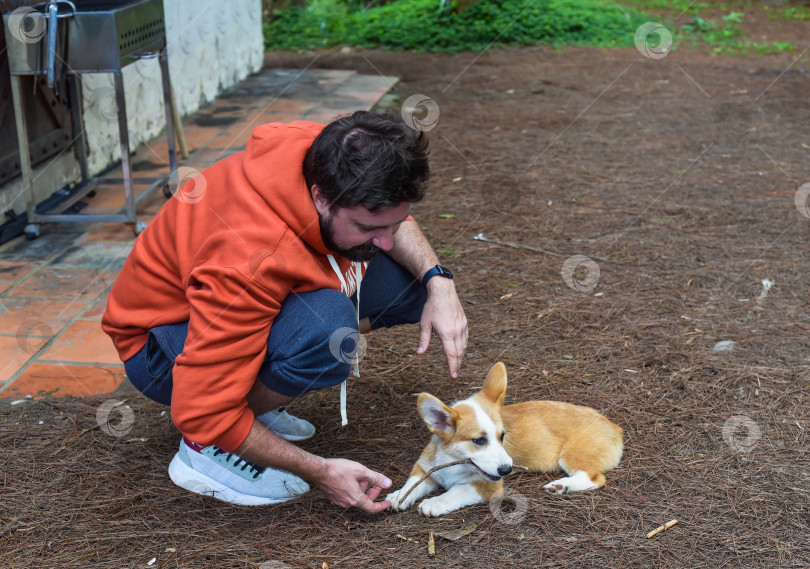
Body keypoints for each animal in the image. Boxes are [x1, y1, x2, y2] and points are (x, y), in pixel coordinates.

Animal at [386, 362, 624, 516]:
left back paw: (561, 486)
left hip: (572, 455)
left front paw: (434, 503)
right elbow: (413, 483)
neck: (452, 462)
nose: (507, 470)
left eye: (502, 436)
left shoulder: (486, 487)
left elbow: (456, 490)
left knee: (595, 478)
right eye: (479, 441)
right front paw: (399, 496)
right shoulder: (425, 468)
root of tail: (615, 427)